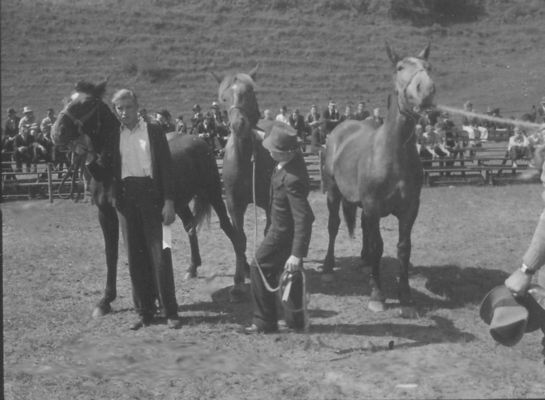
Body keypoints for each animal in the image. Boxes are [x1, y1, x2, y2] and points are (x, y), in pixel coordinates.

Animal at [53, 81, 238, 318]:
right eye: (66, 100)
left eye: (86, 103)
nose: (57, 131)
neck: (108, 165)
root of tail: (200, 140)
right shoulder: (105, 213)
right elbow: (111, 253)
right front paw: (105, 301)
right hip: (178, 203)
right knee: (189, 225)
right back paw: (192, 268)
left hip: (213, 192)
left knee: (227, 227)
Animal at [210, 65, 274, 302]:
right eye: (223, 98)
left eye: (250, 93)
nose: (239, 124)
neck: (247, 157)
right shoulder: (233, 204)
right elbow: (239, 239)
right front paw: (238, 283)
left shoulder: (270, 201)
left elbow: (267, 232)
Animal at [320, 43, 436, 312]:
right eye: (400, 67)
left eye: (428, 66)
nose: (426, 89)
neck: (393, 154)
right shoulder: (374, 206)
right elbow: (378, 247)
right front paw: (377, 295)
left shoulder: (410, 209)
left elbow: (404, 248)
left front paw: (405, 294)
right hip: (333, 192)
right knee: (334, 225)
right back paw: (329, 267)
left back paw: (363, 264)